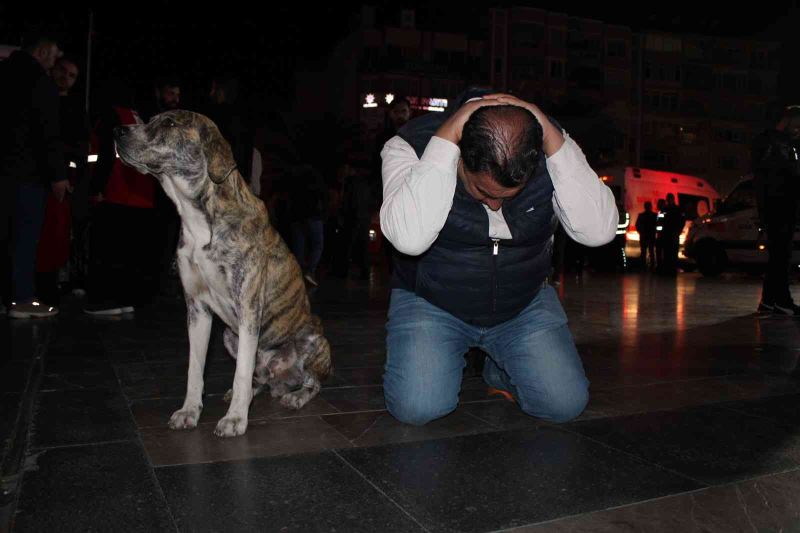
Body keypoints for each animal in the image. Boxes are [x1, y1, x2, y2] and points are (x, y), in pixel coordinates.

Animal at [114, 109, 332, 436]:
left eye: (170, 124)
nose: (117, 131)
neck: (200, 221)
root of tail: (279, 378)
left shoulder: (248, 308)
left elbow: (240, 372)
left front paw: (235, 419)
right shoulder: (197, 309)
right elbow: (195, 368)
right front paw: (189, 411)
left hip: (313, 337)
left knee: (312, 382)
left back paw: (295, 397)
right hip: (231, 336)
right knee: (258, 378)